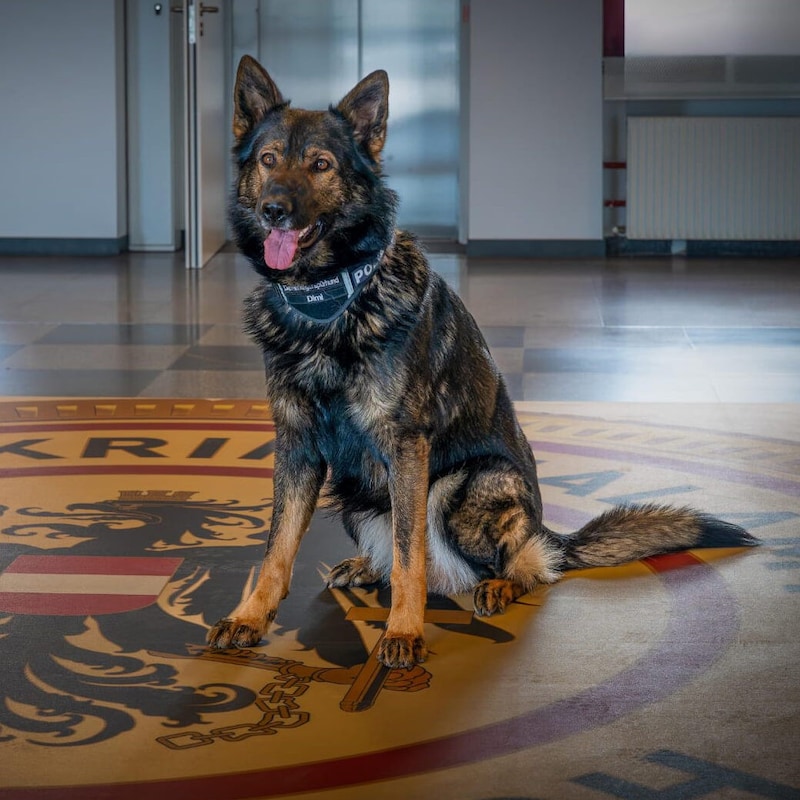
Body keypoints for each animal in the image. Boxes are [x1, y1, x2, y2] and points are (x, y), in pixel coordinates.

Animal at [206, 57, 756, 668]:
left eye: (320, 165)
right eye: (268, 159)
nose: (274, 210)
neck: (331, 300)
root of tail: (547, 531)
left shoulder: (406, 448)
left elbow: (410, 554)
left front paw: (403, 631)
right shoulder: (297, 446)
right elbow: (277, 546)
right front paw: (250, 617)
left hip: (466, 487)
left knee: (529, 564)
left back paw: (497, 584)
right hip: (356, 495)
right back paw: (365, 566)